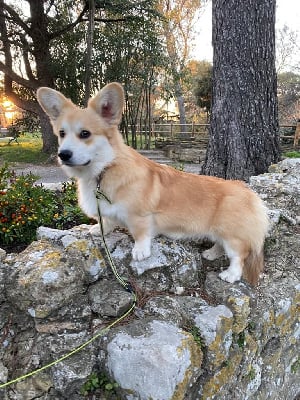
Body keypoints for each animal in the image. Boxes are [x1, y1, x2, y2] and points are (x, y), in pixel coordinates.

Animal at [37, 82, 270, 284]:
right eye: (62, 133)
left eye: (85, 134)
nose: (63, 154)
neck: (104, 169)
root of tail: (251, 195)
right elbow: (107, 222)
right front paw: (98, 230)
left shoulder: (139, 216)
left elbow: (140, 234)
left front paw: (140, 252)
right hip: (220, 232)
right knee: (220, 246)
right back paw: (211, 253)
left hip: (231, 236)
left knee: (238, 256)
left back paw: (230, 274)